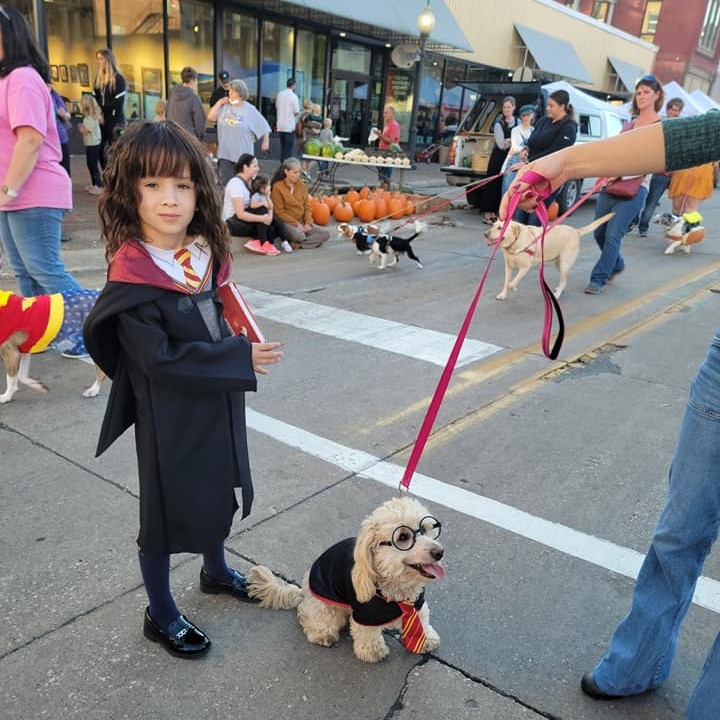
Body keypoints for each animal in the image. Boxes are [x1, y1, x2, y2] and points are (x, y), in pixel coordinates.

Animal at [247, 495, 445, 663]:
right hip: (326, 609)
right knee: (307, 614)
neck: (397, 590)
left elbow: (422, 620)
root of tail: (304, 591)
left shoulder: (417, 604)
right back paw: (321, 633)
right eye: (403, 536)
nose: (439, 552)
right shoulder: (365, 614)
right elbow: (367, 634)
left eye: (426, 529)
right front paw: (373, 652)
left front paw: (426, 639)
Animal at [483, 212, 615, 300]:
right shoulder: (508, 267)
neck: (515, 244)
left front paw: (513, 287)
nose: (485, 234)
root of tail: (575, 231)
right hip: (558, 263)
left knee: (563, 281)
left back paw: (557, 294)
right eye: (493, 225)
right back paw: (559, 289)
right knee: (564, 281)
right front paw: (503, 294)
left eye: (500, 228)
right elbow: (506, 282)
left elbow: (512, 282)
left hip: (564, 263)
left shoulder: (525, 268)